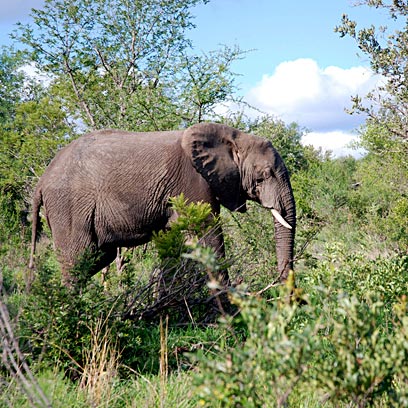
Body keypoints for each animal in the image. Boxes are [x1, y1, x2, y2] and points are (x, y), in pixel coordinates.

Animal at [29, 121, 296, 286]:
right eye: (265, 175)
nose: (285, 295)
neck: (234, 136)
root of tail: (41, 181)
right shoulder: (193, 183)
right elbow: (209, 235)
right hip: (68, 206)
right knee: (76, 261)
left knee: (96, 258)